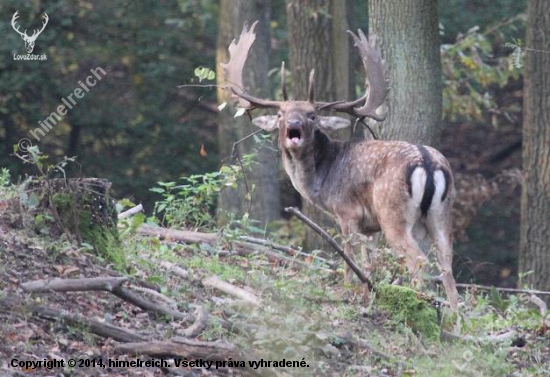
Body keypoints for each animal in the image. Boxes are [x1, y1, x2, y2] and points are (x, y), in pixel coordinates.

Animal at [222, 20, 460, 310]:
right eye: (280, 114)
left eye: (313, 115)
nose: (294, 125)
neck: (323, 181)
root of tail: (426, 160)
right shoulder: (370, 228)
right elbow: (368, 262)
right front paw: (369, 296)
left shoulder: (347, 212)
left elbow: (349, 258)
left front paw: (348, 293)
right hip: (441, 216)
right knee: (447, 267)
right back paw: (457, 319)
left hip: (393, 213)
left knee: (419, 261)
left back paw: (420, 304)